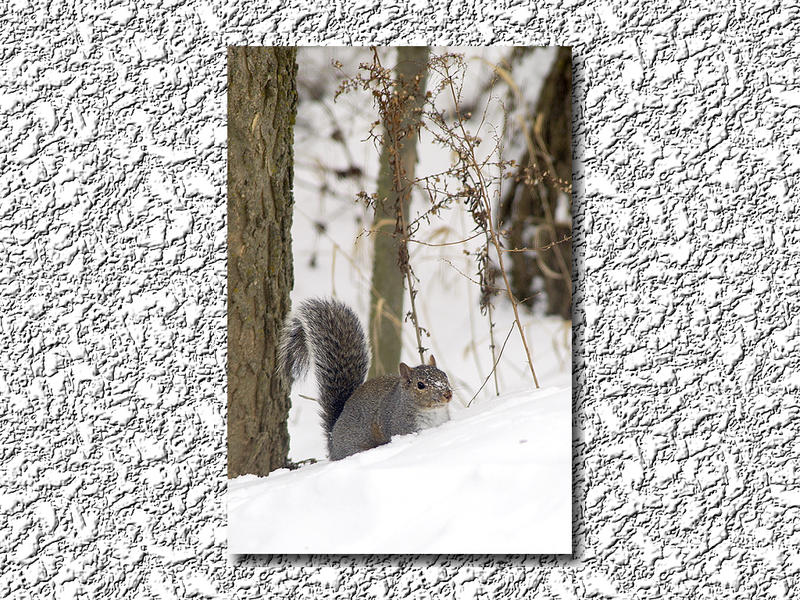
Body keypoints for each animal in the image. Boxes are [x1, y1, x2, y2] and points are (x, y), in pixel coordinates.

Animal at [278, 298, 454, 462]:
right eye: (420, 385)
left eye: (444, 375)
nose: (448, 394)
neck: (432, 412)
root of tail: (332, 440)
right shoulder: (400, 424)